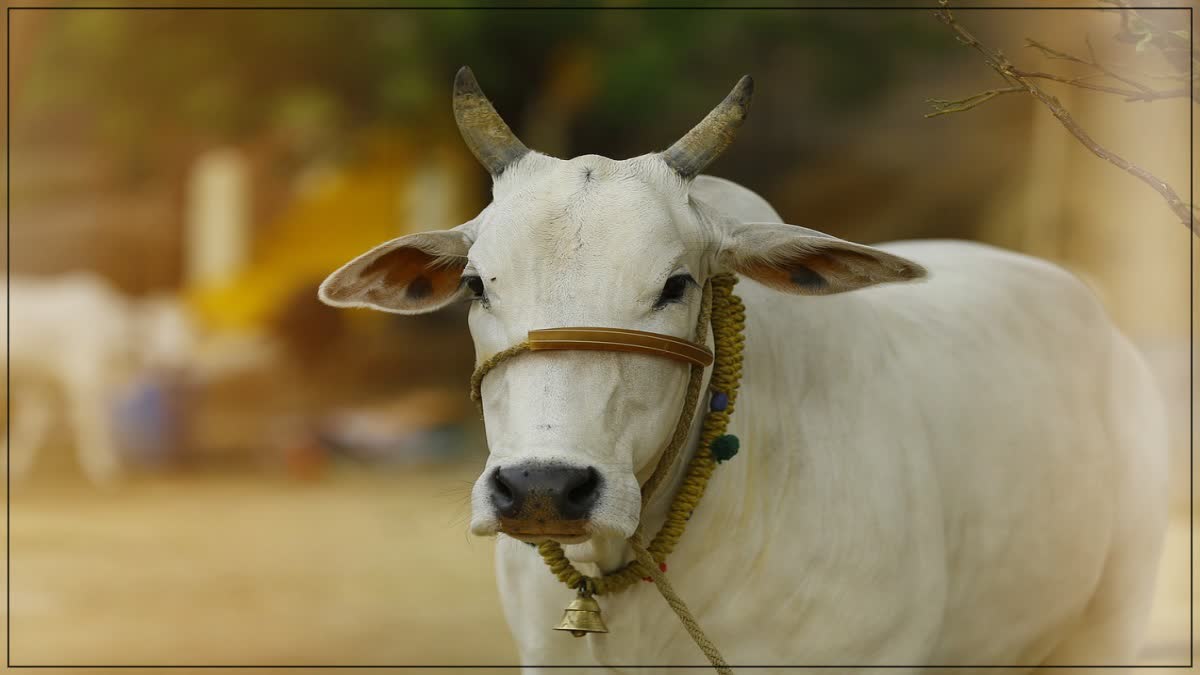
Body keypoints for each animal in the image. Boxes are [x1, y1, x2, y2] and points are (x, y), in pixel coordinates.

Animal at [1, 271, 194, 482]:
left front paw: (13, 462)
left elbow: (33, 422)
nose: (181, 365)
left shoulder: (43, 381)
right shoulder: (83, 380)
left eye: (188, 333)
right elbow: (93, 424)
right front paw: (103, 467)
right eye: (154, 334)